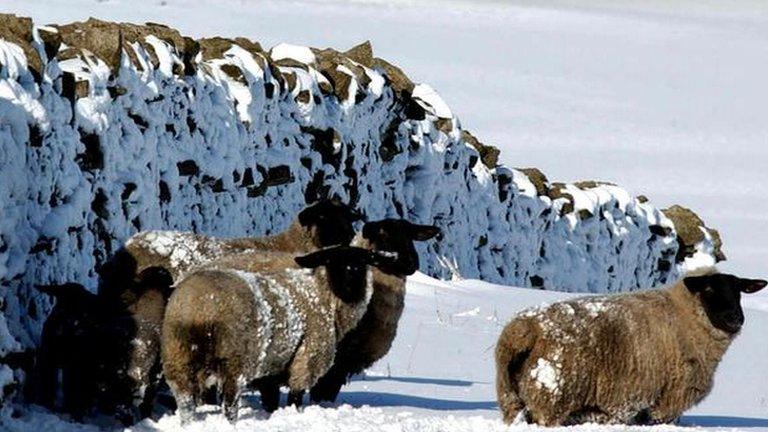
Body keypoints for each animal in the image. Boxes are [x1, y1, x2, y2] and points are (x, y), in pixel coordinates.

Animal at [160, 245, 392, 424]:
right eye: (332, 261)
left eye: (362, 262)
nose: (351, 278)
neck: (323, 295)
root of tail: (201, 307)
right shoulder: (306, 359)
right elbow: (295, 397)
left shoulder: (272, 365)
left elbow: (271, 399)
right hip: (235, 361)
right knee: (229, 402)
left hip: (177, 357)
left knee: (186, 401)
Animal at [496, 270, 764, 426]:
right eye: (709, 289)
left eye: (739, 291)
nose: (735, 318)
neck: (684, 315)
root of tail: (524, 330)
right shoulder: (670, 394)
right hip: (552, 394)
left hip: (511, 396)